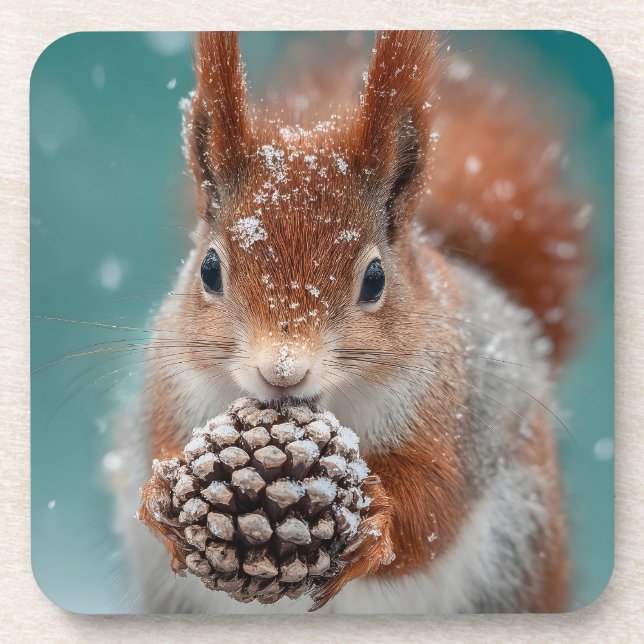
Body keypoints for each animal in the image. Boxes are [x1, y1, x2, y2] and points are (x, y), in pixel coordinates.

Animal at [118, 30, 588, 613]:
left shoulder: (456, 422)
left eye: (375, 279)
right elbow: (157, 447)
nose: (283, 371)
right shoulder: (170, 392)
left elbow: (435, 508)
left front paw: (377, 523)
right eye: (208, 269)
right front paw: (159, 495)